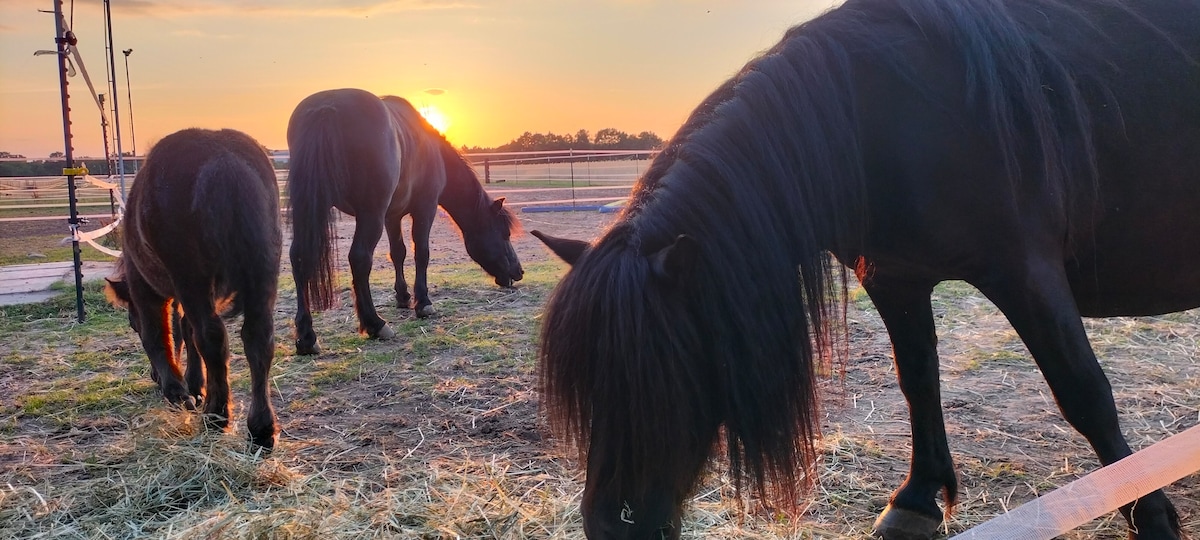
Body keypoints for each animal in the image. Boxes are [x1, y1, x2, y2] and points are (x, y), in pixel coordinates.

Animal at [103, 128, 280, 448]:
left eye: (131, 323)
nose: (154, 377)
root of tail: (223, 158)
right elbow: (184, 330)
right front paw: (195, 385)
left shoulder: (145, 290)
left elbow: (159, 334)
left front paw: (177, 390)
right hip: (263, 272)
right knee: (258, 338)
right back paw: (261, 427)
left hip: (192, 277)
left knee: (211, 335)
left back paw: (216, 414)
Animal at [288, 89, 523, 355]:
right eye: (504, 234)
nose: (519, 271)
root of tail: (327, 107)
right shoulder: (425, 209)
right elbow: (422, 253)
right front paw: (423, 303)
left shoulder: (392, 216)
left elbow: (397, 253)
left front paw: (403, 297)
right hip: (370, 213)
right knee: (359, 258)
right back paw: (375, 324)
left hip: (310, 207)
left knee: (299, 258)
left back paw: (307, 337)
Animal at [535, 0, 1200, 537]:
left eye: (659, 377)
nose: (609, 527)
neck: (880, 119)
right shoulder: (894, 279)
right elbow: (918, 381)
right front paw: (916, 501)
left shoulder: (1027, 272)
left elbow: (1085, 394)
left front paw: (1150, 517)